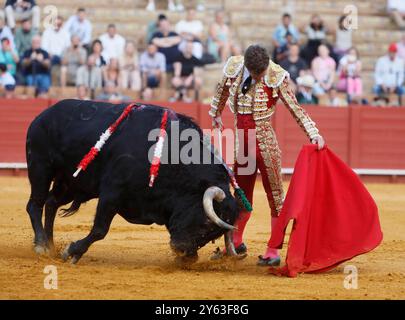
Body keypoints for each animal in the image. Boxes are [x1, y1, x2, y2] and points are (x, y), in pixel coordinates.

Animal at [25, 99, 240, 264]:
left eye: (215, 236)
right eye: (206, 223)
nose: (185, 254)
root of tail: (42, 116)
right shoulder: (112, 193)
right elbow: (100, 230)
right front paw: (72, 252)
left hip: (70, 181)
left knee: (51, 203)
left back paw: (50, 245)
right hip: (40, 168)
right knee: (35, 204)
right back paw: (41, 245)